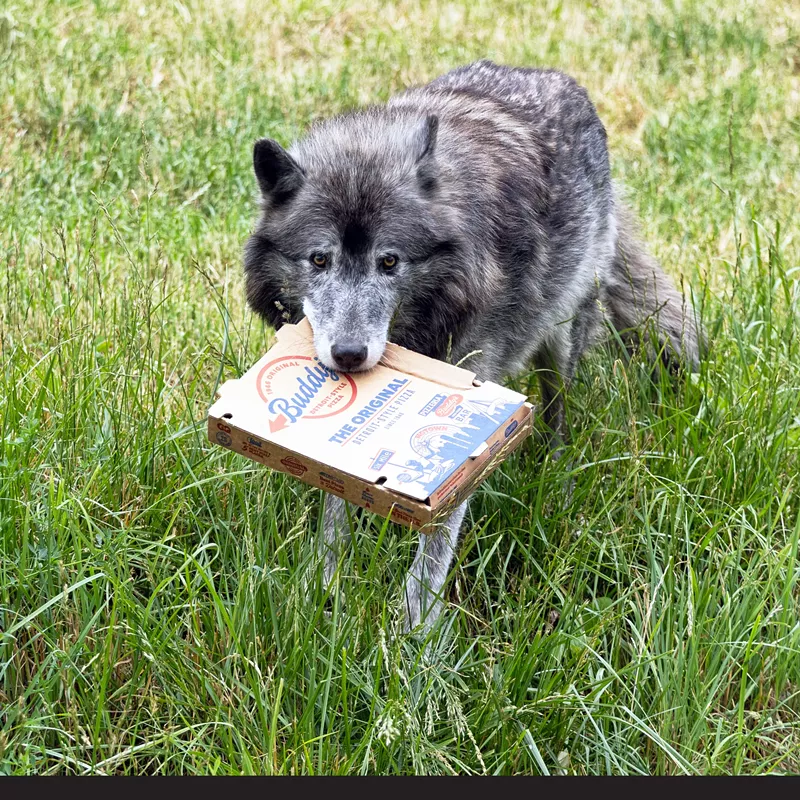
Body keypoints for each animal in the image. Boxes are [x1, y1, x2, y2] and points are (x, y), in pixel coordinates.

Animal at [242, 59, 700, 636]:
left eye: (389, 262)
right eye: (319, 259)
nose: (348, 355)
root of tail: (553, 77)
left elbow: (436, 541)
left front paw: (413, 634)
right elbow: (332, 497)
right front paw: (318, 588)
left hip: (561, 335)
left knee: (559, 413)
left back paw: (557, 480)